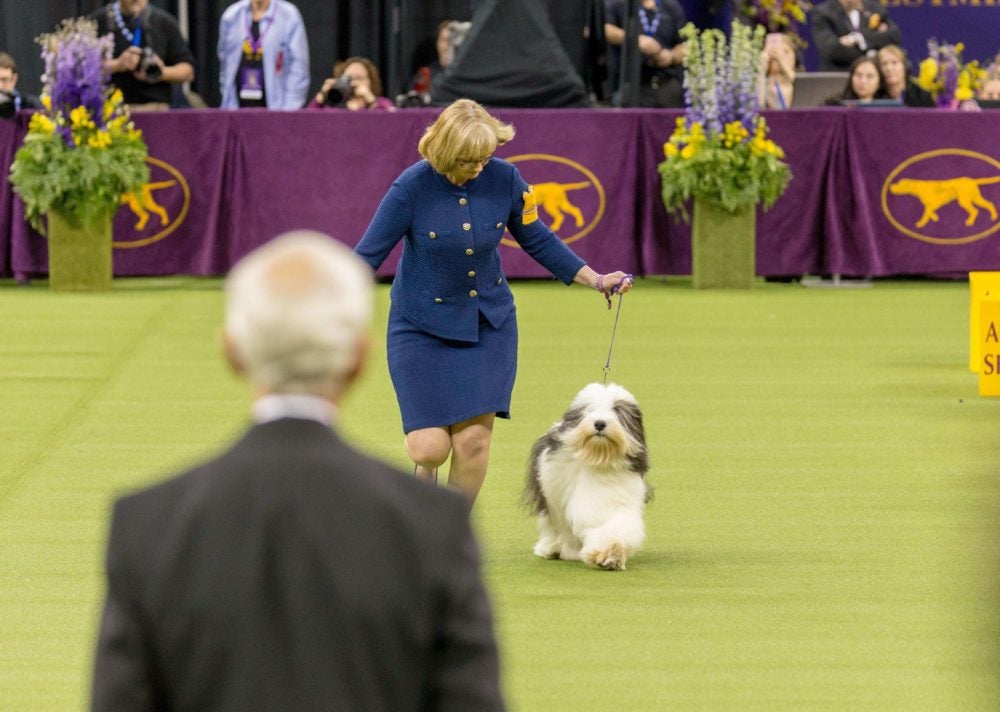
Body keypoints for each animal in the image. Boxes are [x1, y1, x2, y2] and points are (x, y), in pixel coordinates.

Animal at [520, 382, 652, 572]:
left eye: (617, 410)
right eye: (589, 409)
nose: (600, 423)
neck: (598, 457)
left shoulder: (617, 499)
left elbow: (615, 529)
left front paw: (611, 554)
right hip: (550, 499)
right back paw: (552, 548)